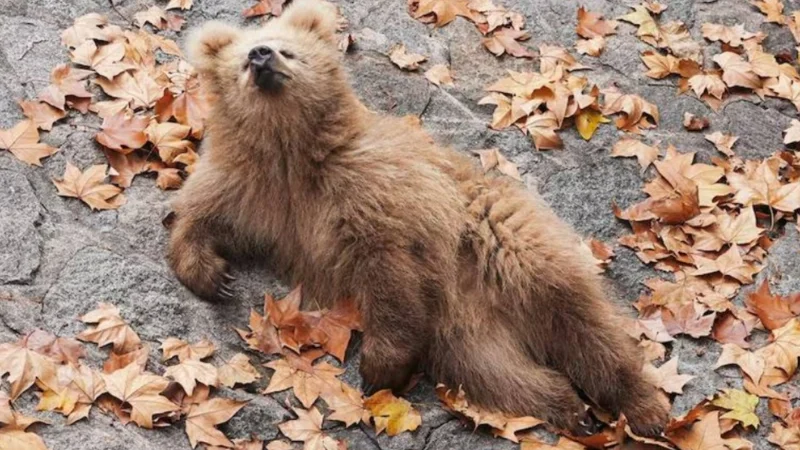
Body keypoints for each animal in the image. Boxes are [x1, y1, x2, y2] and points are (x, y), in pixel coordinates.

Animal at [168, 0, 670, 436]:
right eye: (241, 60)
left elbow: (389, 269)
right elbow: (201, 215)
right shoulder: (256, 193)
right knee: (497, 374)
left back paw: (645, 409)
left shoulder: (371, 192)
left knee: (584, 324)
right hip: (464, 336)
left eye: (287, 48)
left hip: (511, 247)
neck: (291, 152)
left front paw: (377, 367)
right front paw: (212, 275)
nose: (261, 55)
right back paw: (568, 407)